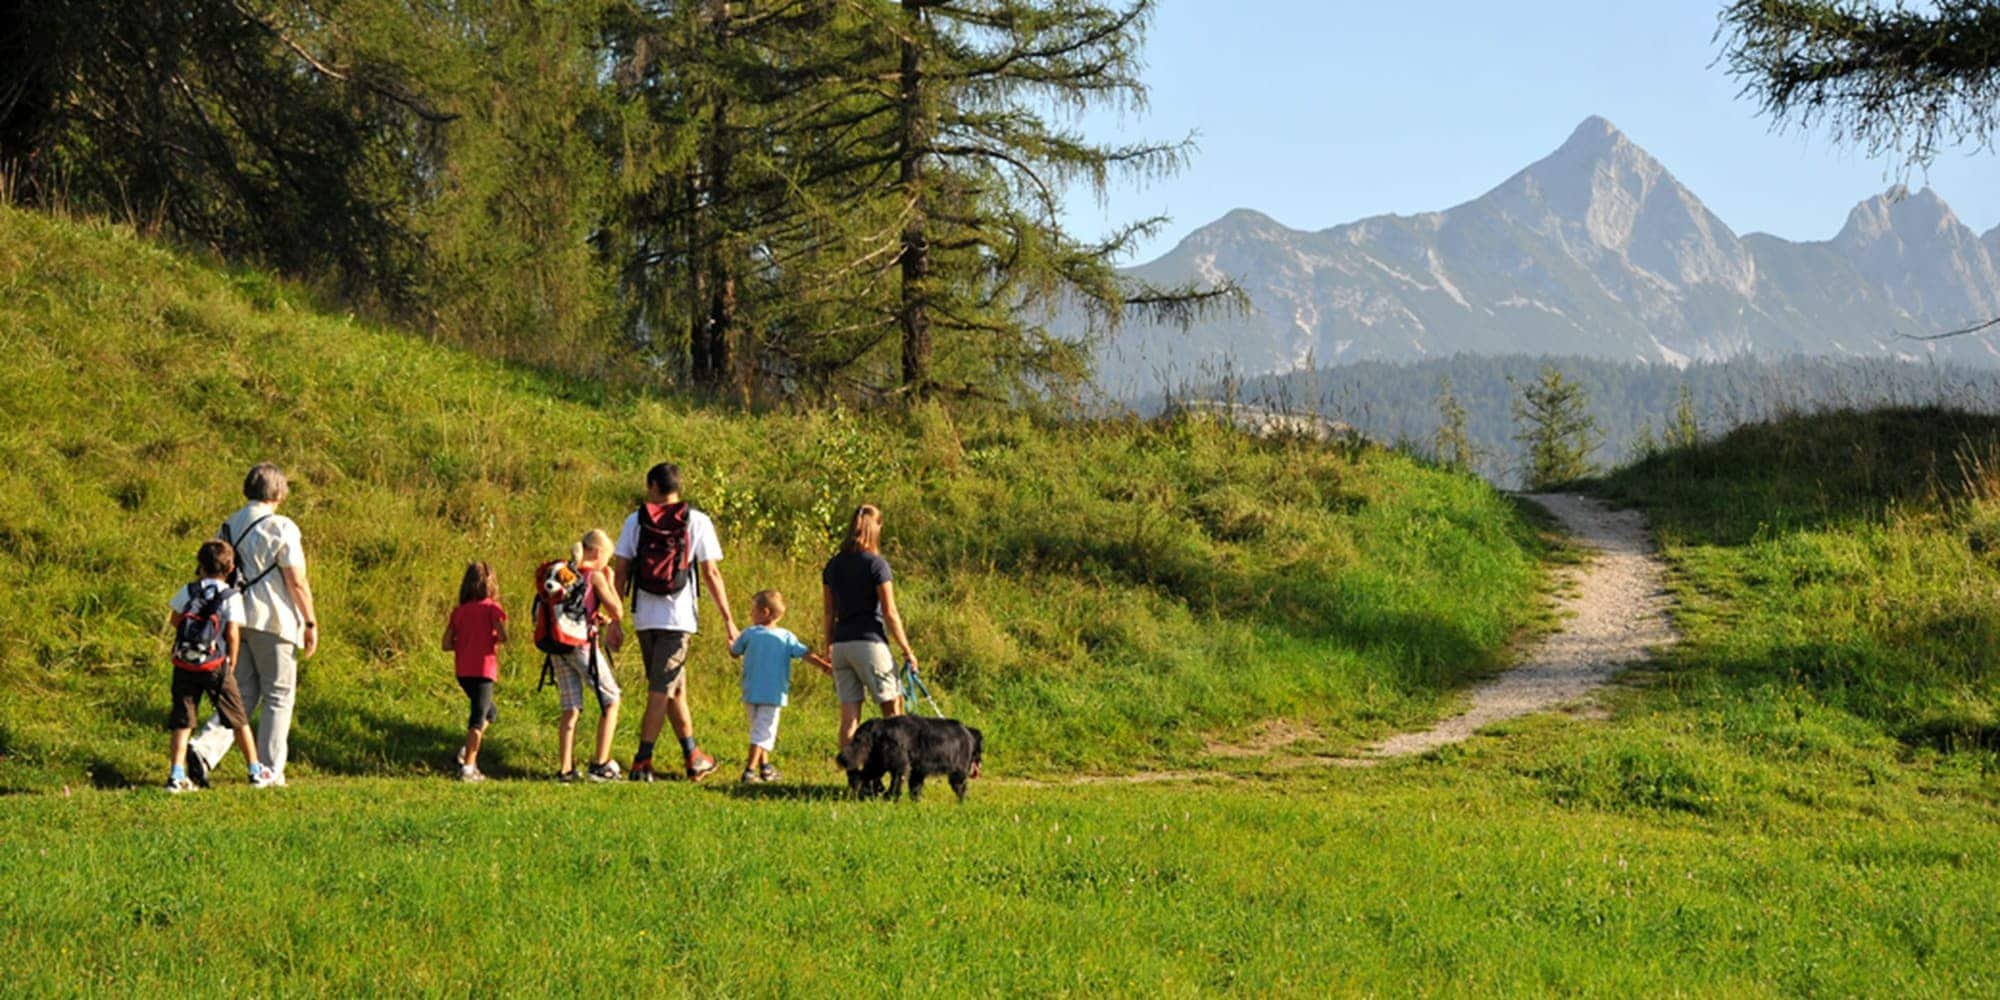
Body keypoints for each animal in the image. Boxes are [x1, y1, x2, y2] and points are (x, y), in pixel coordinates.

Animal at [832, 716, 980, 800]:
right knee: (896, 780)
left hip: (877, 762)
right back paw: (891, 798)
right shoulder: (958, 769)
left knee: (860, 776)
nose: (979, 765)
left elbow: (916, 786)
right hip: (897, 762)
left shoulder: (918, 771)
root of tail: (878, 725)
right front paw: (964, 801)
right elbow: (960, 785)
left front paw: (916, 802)